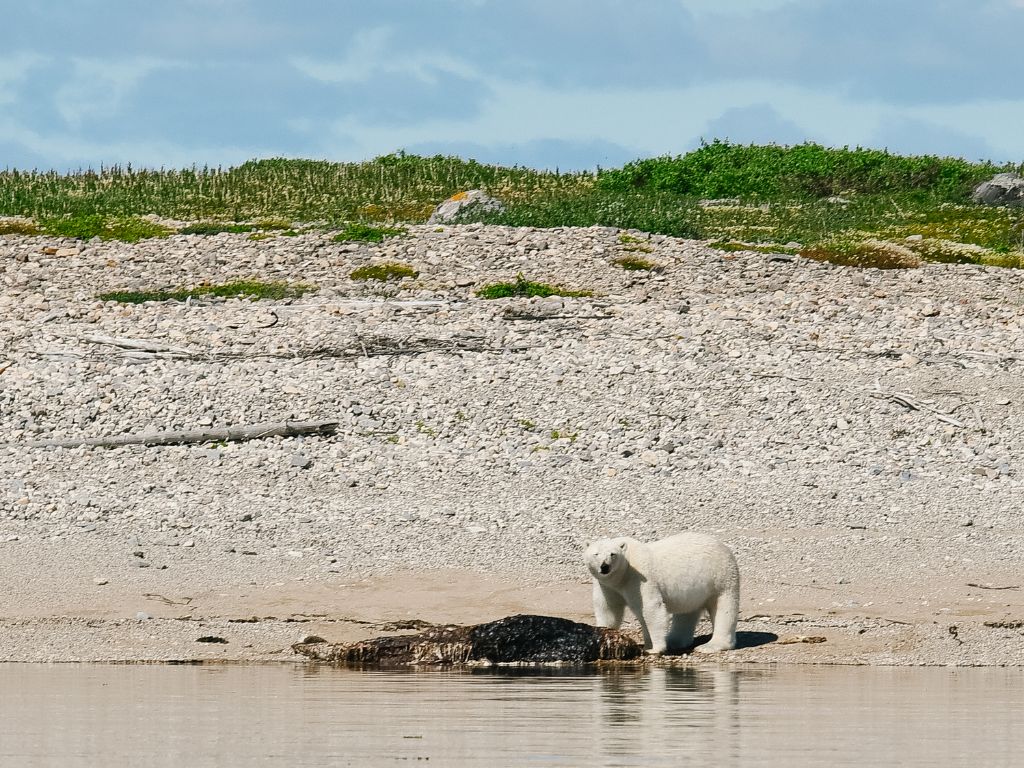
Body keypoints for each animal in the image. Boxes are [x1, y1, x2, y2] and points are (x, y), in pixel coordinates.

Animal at [585, 536, 737, 655]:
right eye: (596, 554)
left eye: (612, 554)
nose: (605, 566)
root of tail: (724, 547)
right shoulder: (606, 586)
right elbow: (608, 609)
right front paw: (601, 634)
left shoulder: (639, 578)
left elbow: (650, 608)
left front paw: (654, 648)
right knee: (686, 612)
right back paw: (674, 641)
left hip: (720, 577)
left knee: (723, 608)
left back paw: (711, 645)